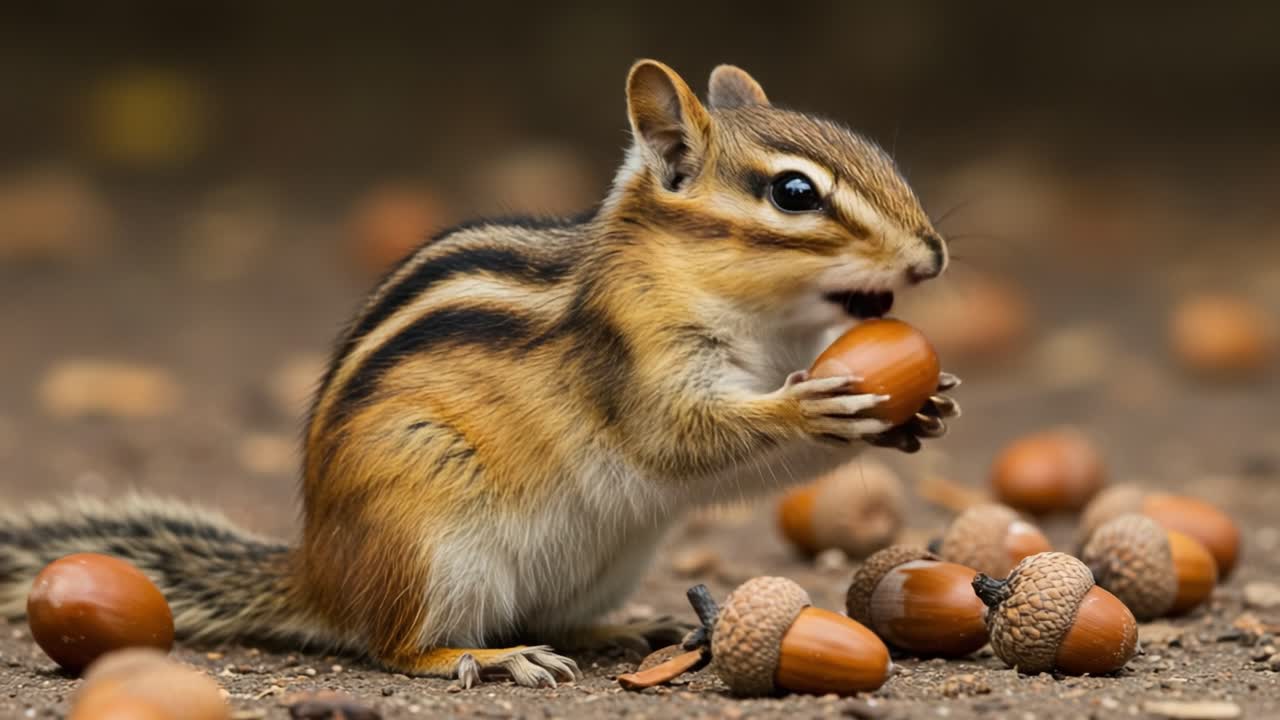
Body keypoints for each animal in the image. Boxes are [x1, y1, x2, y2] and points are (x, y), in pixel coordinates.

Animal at [0, 61, 958, 688]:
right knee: (393, 646)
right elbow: (682, 443)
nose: (935, 255)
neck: (768, 332)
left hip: (604, 554)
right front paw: (809, 413)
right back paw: (488, 655)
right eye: (795, 194)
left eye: (879, 156)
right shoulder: (633, 358)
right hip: (429, 535)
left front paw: (923, 412)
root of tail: (319, 570)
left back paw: (622, 627)